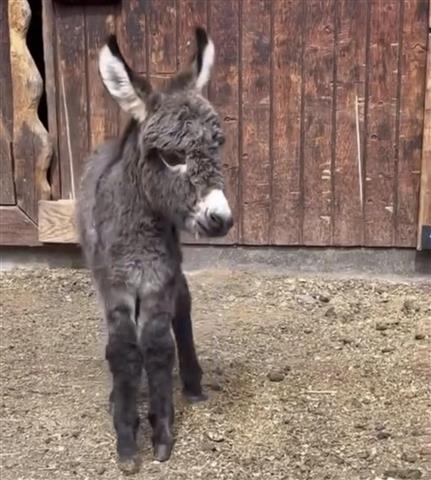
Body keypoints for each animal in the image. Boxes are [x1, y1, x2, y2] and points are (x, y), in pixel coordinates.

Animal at [76, 27, 235, 472]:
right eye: (171, 156)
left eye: (218, 146)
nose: (221, 218)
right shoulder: (116, 286)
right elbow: (124, 351)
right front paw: (127, 440)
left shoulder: (158, 279)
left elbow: (160, 347)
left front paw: (161, 433)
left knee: (184, 306)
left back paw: (193, 382)